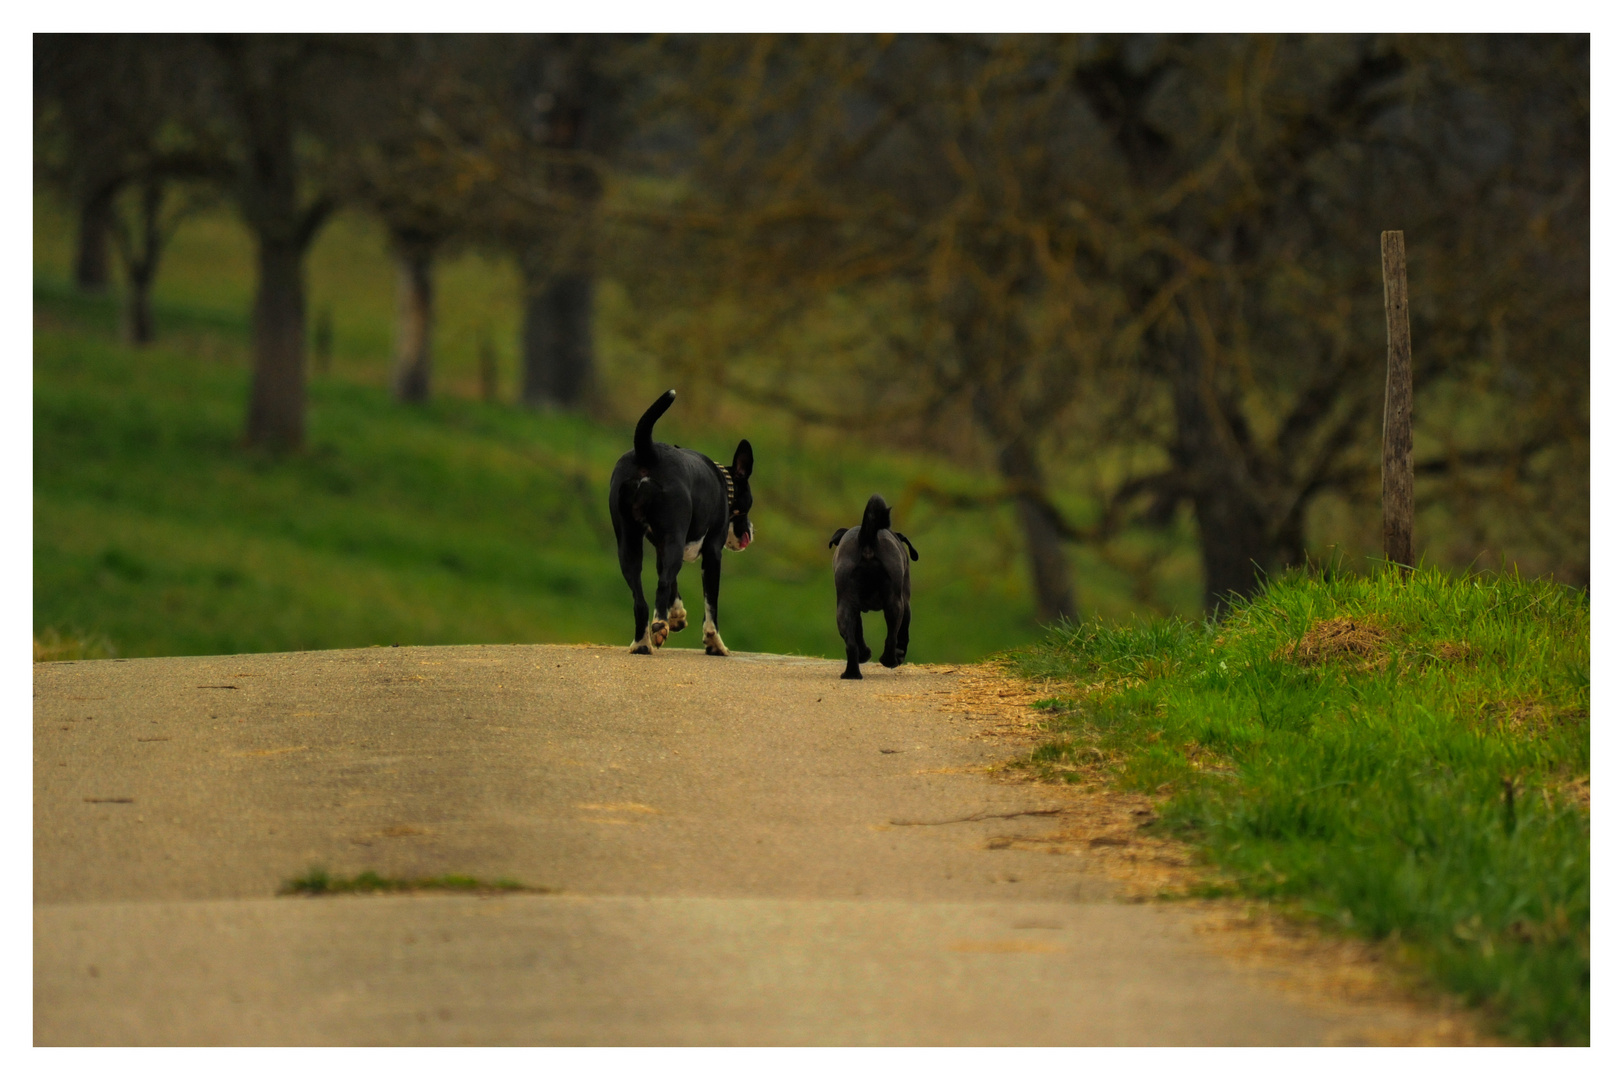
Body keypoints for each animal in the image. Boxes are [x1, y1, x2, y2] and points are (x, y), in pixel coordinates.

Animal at [610, 389, 756, 652]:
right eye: (748, 504)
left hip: (629, 545)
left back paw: (642, 642)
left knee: (641, 599)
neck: (723, 482)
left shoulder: (660, 547)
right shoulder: (712, 552)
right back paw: (659, 626)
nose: (750, 531)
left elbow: (672, 586)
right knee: (661, 586)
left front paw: (677, 615)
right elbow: (710, 605)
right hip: (673, 540)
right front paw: (714, 643)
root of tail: (647, 451)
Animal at [830, 493, 921, 678]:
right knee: (892, 636)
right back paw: (890, 660)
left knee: (851, 643)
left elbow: (858, 632)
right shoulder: (906, 603)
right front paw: (900, 654)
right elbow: (904, 633)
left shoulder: (854, 608)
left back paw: (852, 673)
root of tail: (866, 540)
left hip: (845, 607)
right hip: (896, 604)